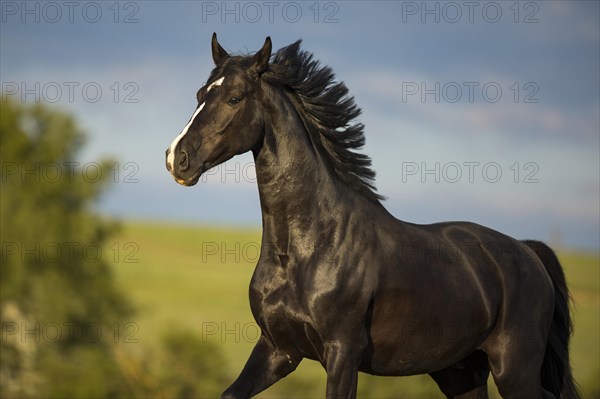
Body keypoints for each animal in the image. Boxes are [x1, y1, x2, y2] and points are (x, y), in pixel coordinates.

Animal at [164, 35, 576, 399]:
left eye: (234, 98)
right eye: (201, 95)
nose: (176, 158)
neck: (308, 248)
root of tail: (527, 251)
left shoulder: (342, 355)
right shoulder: (279, 350)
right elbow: (230, 392)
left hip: (514, 369)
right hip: (460, 372)